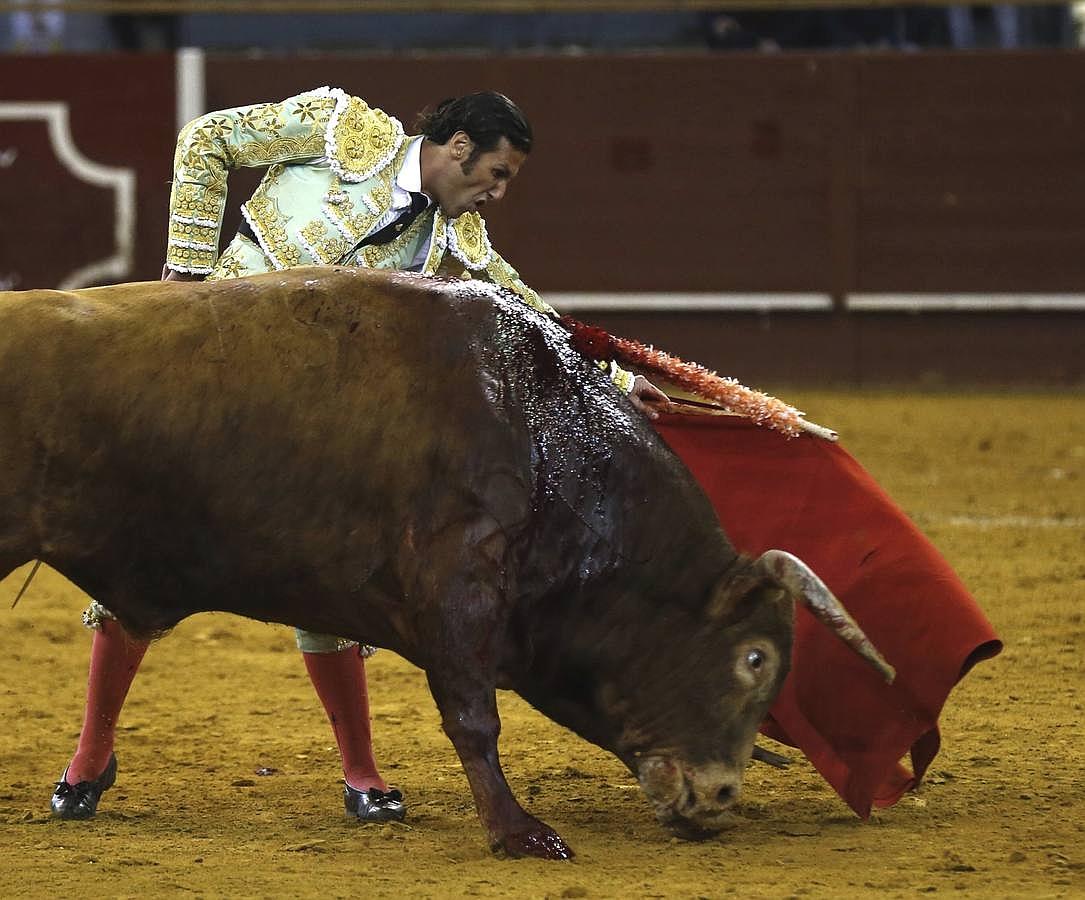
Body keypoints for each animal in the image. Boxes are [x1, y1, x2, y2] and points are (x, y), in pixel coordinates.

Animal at [2, 264, 889, 855]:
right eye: (754, 657)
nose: (719, 795)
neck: (541, 438)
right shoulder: (458, 587)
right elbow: (472, 717)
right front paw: (518, 833)